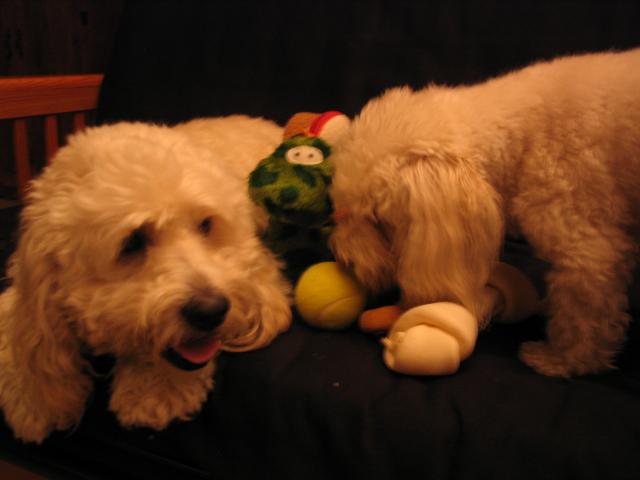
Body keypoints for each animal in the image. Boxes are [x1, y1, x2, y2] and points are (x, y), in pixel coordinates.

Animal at [329, 48, 640, 377]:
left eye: (378, 220)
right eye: (342, 211)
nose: (342, 259)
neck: (523, 136)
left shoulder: (587, 250)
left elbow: (583, 316)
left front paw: (560, 360)